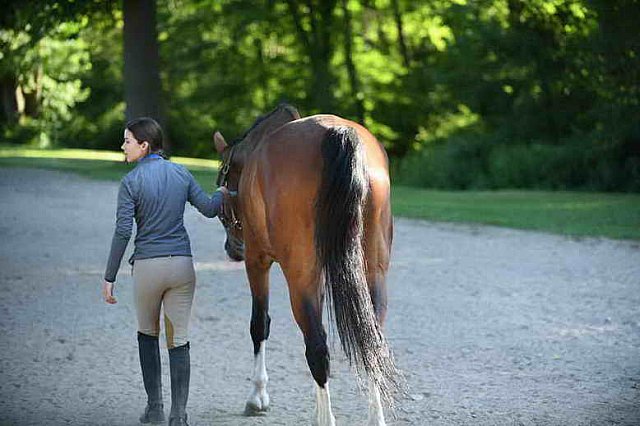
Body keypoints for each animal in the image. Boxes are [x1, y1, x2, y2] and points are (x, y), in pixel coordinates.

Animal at [212, 104, 398, 426]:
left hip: (296, 274)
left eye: (222, 183)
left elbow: (259, 324)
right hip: (371, 271)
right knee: (370, 343)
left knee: (317, 347)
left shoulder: (257, 260)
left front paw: (257, 396)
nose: (233, 249)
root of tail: (338, 134)